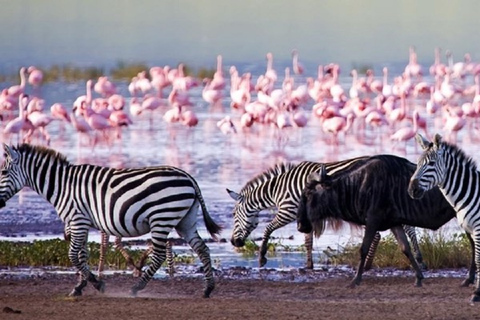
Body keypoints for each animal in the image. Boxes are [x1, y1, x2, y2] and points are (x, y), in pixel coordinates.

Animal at [0, 143, 221, 298]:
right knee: (202, 248)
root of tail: (188, 177)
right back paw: (208, 289)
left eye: (2, 172)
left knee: (159, 255)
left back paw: (136, 288)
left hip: (161, 218)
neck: (62, 186)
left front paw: (97, 284)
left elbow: (73, 255)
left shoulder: (77, 220)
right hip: (185, 220)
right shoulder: (82, 222)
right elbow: (82, 255)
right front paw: (80, 286)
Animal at [227, 159, 422, 268]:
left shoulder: (287, 211)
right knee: (406, 228)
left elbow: (268, 229)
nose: (233, 242)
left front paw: (261, 258)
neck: (278, 189)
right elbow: (308, 242)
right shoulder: (305, 216)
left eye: (234, 215)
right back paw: (419, 259)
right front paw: (309, 265)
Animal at [408, 132, 480, 302]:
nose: (412, 190)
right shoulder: (472, 229)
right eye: (417, 163)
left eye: (432, 163)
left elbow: (478, 259)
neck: (471, 191)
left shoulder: (478, 229)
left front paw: (477, 293)